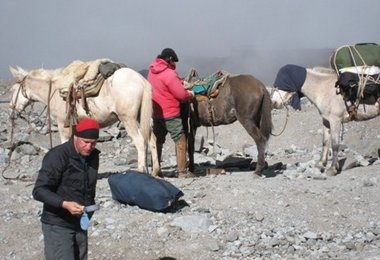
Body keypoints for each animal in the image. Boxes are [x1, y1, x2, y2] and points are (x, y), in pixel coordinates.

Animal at [8, 64, 160, 176]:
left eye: (14, 89)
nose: (11, 110)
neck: (55, 92)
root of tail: (141, 80)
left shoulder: (63, 124)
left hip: (128, 119)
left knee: (140, 140)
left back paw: (141, 171)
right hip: (142, 118)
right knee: (152, 139)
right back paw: (155, 171)